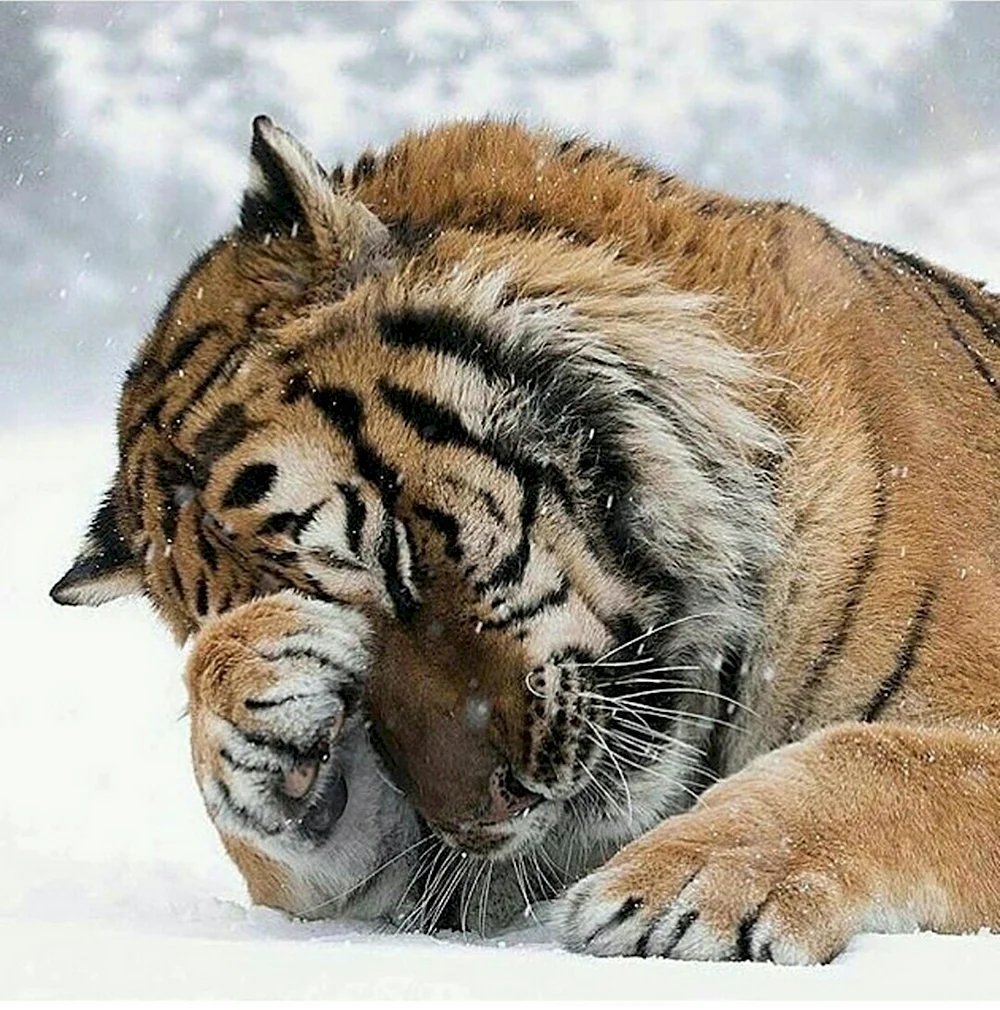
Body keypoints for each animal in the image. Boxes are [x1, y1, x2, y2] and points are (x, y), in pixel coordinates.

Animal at [51, 115, 1000, 963]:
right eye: (355, 678)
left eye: (392, 558)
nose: (482, 821)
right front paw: (258, 680)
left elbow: (881, 758)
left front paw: (683, 887)